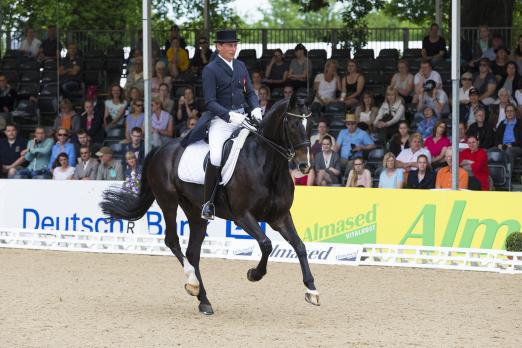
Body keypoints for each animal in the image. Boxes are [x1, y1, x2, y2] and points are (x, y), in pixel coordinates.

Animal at [98, 93, 316, 316]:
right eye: (293, 124)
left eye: (311, 125)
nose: (304, 166)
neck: (265, 164)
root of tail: (160, 148)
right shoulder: (242, 216)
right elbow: (266, 244)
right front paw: (254, 274)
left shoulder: (280, 216)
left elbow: (300, 246)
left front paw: (312, 290)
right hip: (168, 201)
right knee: (172, 240)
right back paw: (192, 283)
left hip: (195, 210)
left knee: (193, 252)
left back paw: (203, 300)